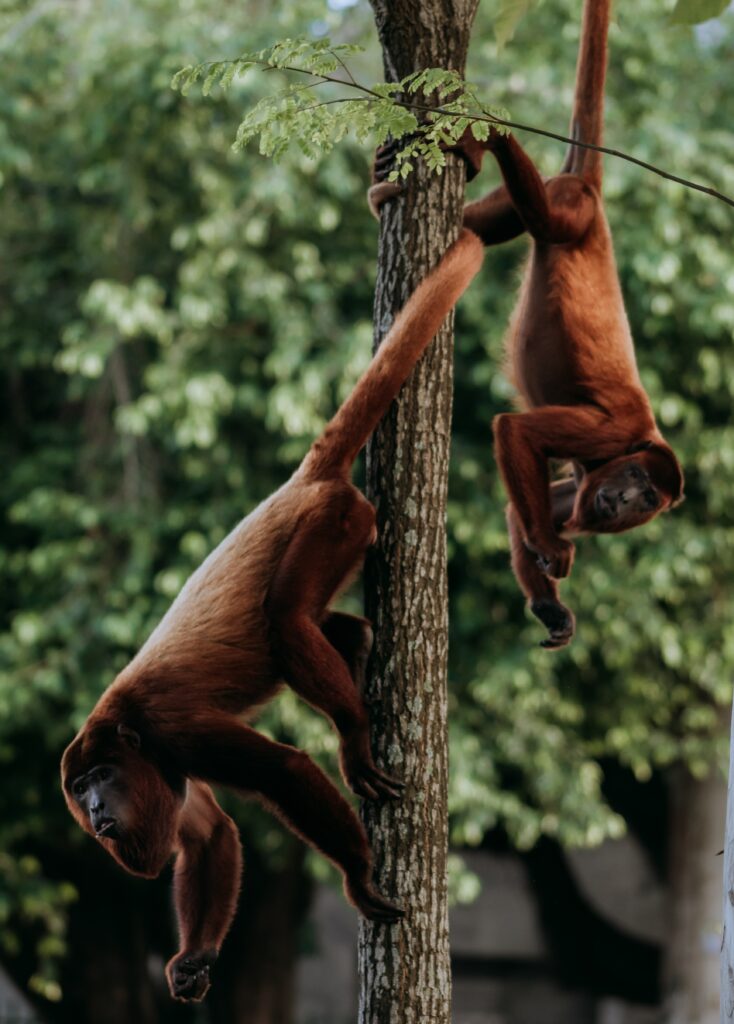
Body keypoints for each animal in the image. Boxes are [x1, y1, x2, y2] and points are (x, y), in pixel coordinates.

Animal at [61, 226, 481, 999]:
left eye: (100, 778)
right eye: (79, 789)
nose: (96, 809)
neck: (127, 727)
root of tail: (299, 483)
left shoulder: (171, 730)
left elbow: (284, 771)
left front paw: (358, 876)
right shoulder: (167, 767)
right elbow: (208, 833)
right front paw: (193, 958)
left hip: (336, 521)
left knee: (286, 617)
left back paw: (353, 731)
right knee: (316, 623)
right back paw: (354, 646)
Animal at [374, 0, 683, 647]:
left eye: (648, 500)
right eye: (640, 483)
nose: (626, 501)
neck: (640, 443)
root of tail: (592, 190)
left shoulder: (587, 483)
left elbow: (522, 509)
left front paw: (550, 604)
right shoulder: (613, 432)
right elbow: (515, 431)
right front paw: (547, 545)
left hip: (551, 204)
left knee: (492, 226)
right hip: (572, 209)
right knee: (543, 218)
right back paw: (490, 136)